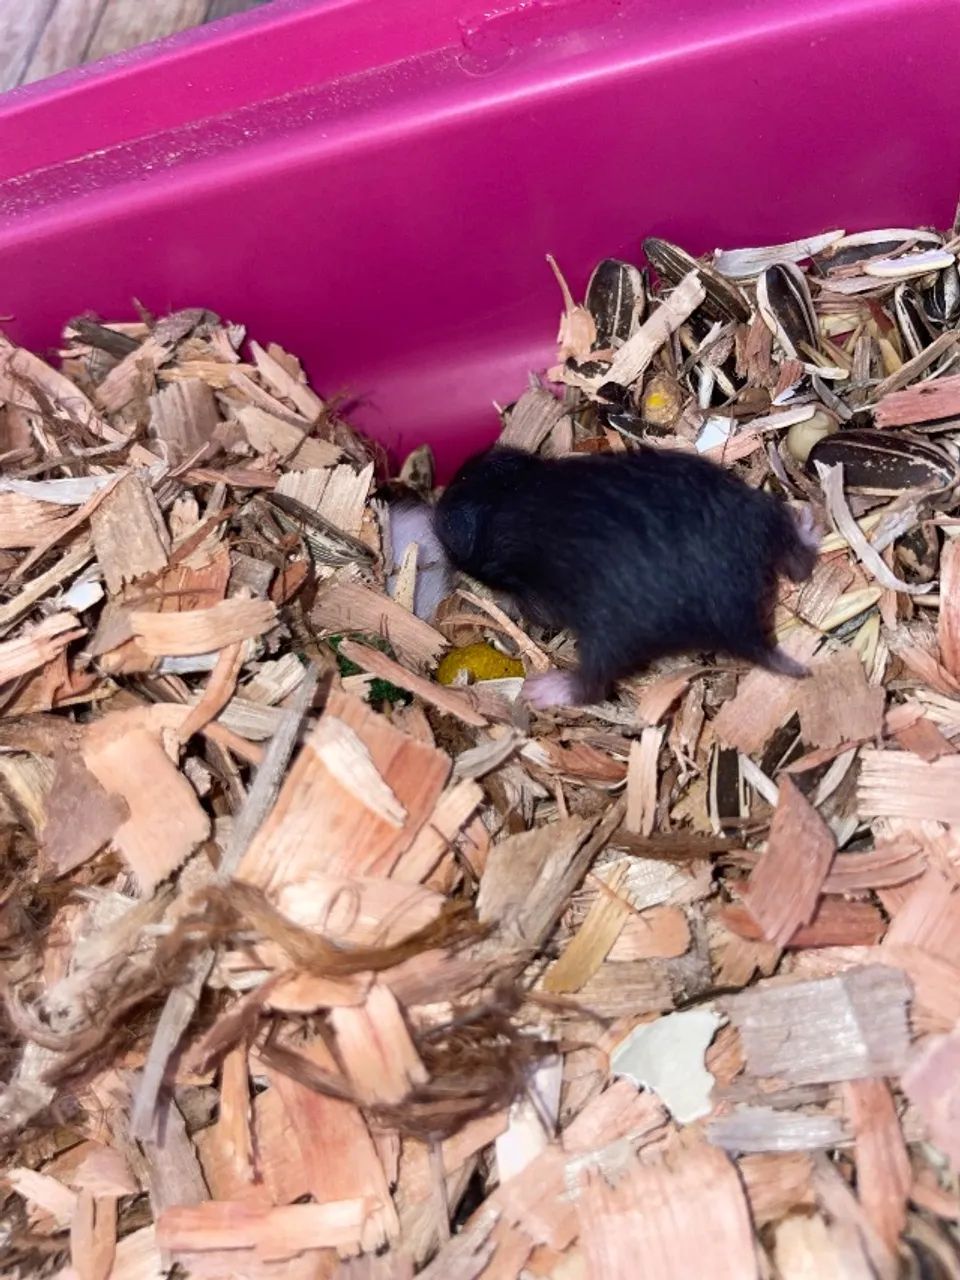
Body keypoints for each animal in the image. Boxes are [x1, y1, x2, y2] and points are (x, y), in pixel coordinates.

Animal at [432, 443, 819, 708]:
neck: (502, 496)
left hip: (612, 637)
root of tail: (736, 615)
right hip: (754, 512)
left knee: (593, 684)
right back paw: (807, 525)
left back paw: (546, 690)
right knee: (796, 559)